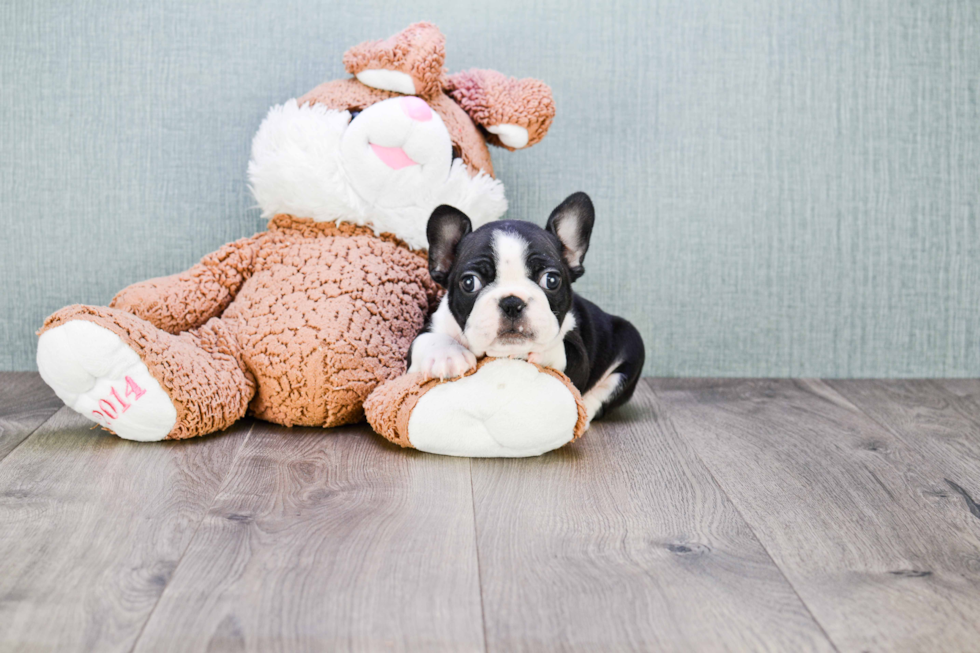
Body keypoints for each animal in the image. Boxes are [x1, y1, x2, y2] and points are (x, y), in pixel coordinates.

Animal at [408, 191, 648, 420]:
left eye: (551, 280)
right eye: (469, 283)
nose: (512, 302)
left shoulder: (579, 356)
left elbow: (568, 353)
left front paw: (541, 351)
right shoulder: (431, 328)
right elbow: (426, 340)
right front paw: (447, 355)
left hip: (631, 343)